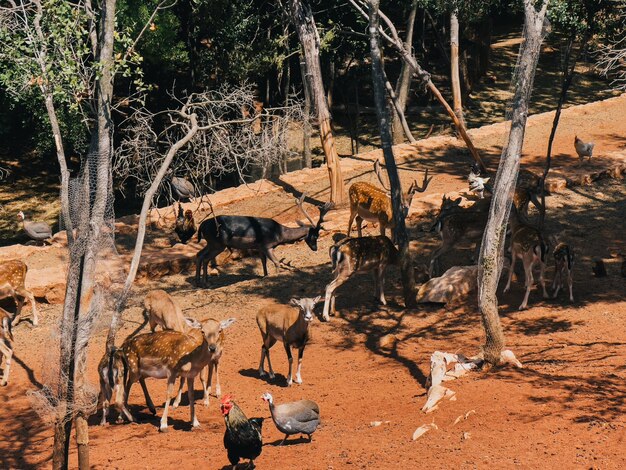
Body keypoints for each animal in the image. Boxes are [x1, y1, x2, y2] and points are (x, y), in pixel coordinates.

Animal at [195, 195, 332, 286]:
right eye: (315, 236)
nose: (315, 248)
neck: (279, 234)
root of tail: (201, 226)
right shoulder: (267, 245)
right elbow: (276, 262)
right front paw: (277, 276)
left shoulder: (259, 247)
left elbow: (263, 262)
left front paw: (265, 276)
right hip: (218, 243)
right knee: (206, 258)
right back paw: (206, 282)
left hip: (211, 242)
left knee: (199, 254)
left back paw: (198, 281)